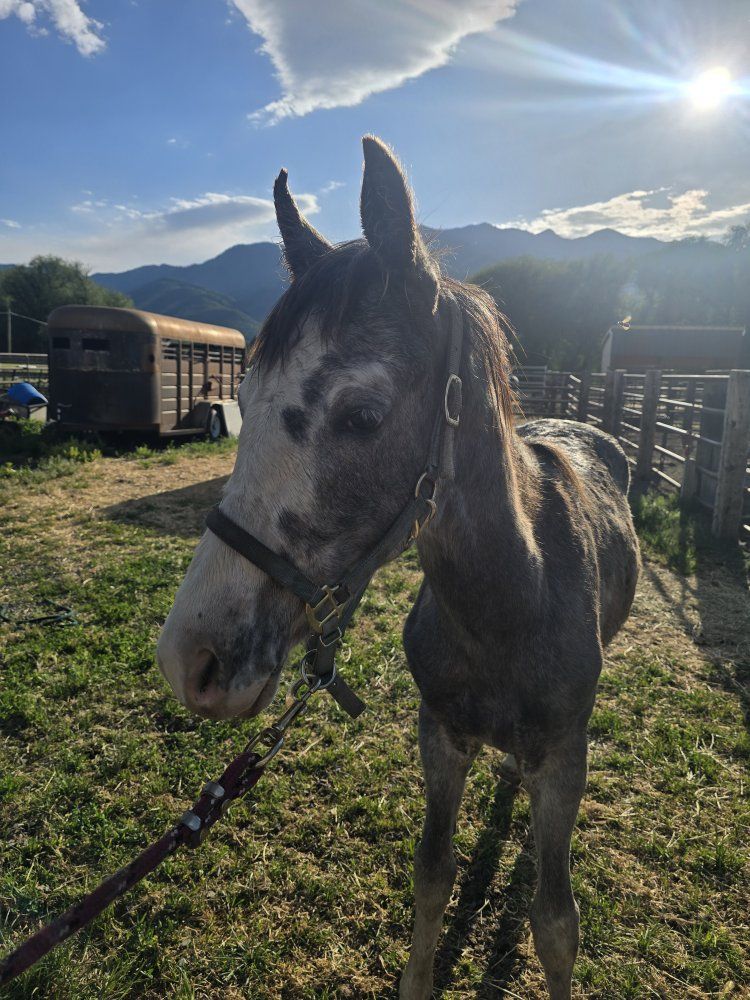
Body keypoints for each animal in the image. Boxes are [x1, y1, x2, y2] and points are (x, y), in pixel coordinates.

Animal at [157, 135, 640, 999]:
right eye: (243, 394)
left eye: (363, 416)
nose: (192, 660)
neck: (510, 602)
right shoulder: (439, 735)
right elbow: (432, 876)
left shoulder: (565, 758)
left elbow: (555, 924)